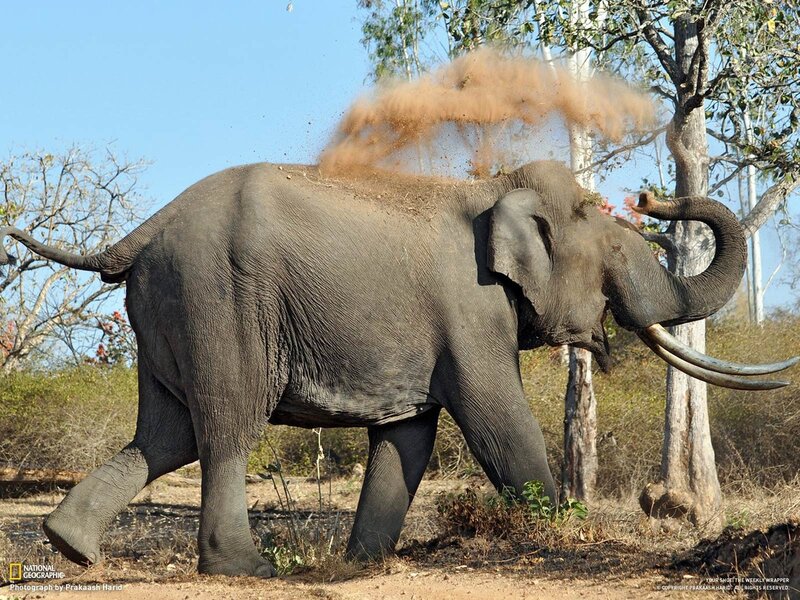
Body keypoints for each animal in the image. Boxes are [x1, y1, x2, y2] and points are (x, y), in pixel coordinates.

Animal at [0, 160, 794, 578]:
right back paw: (244, 570)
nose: (655, 197)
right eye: (611, 264)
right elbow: (497, 420)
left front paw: (361, 566)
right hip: (219, 300)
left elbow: (409, 437)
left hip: (168, 309)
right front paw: (557, 533)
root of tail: (139, 233)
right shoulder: (471, 312)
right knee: (226, 428)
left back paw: (69, 548)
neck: (495, 189)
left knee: (165, 435)